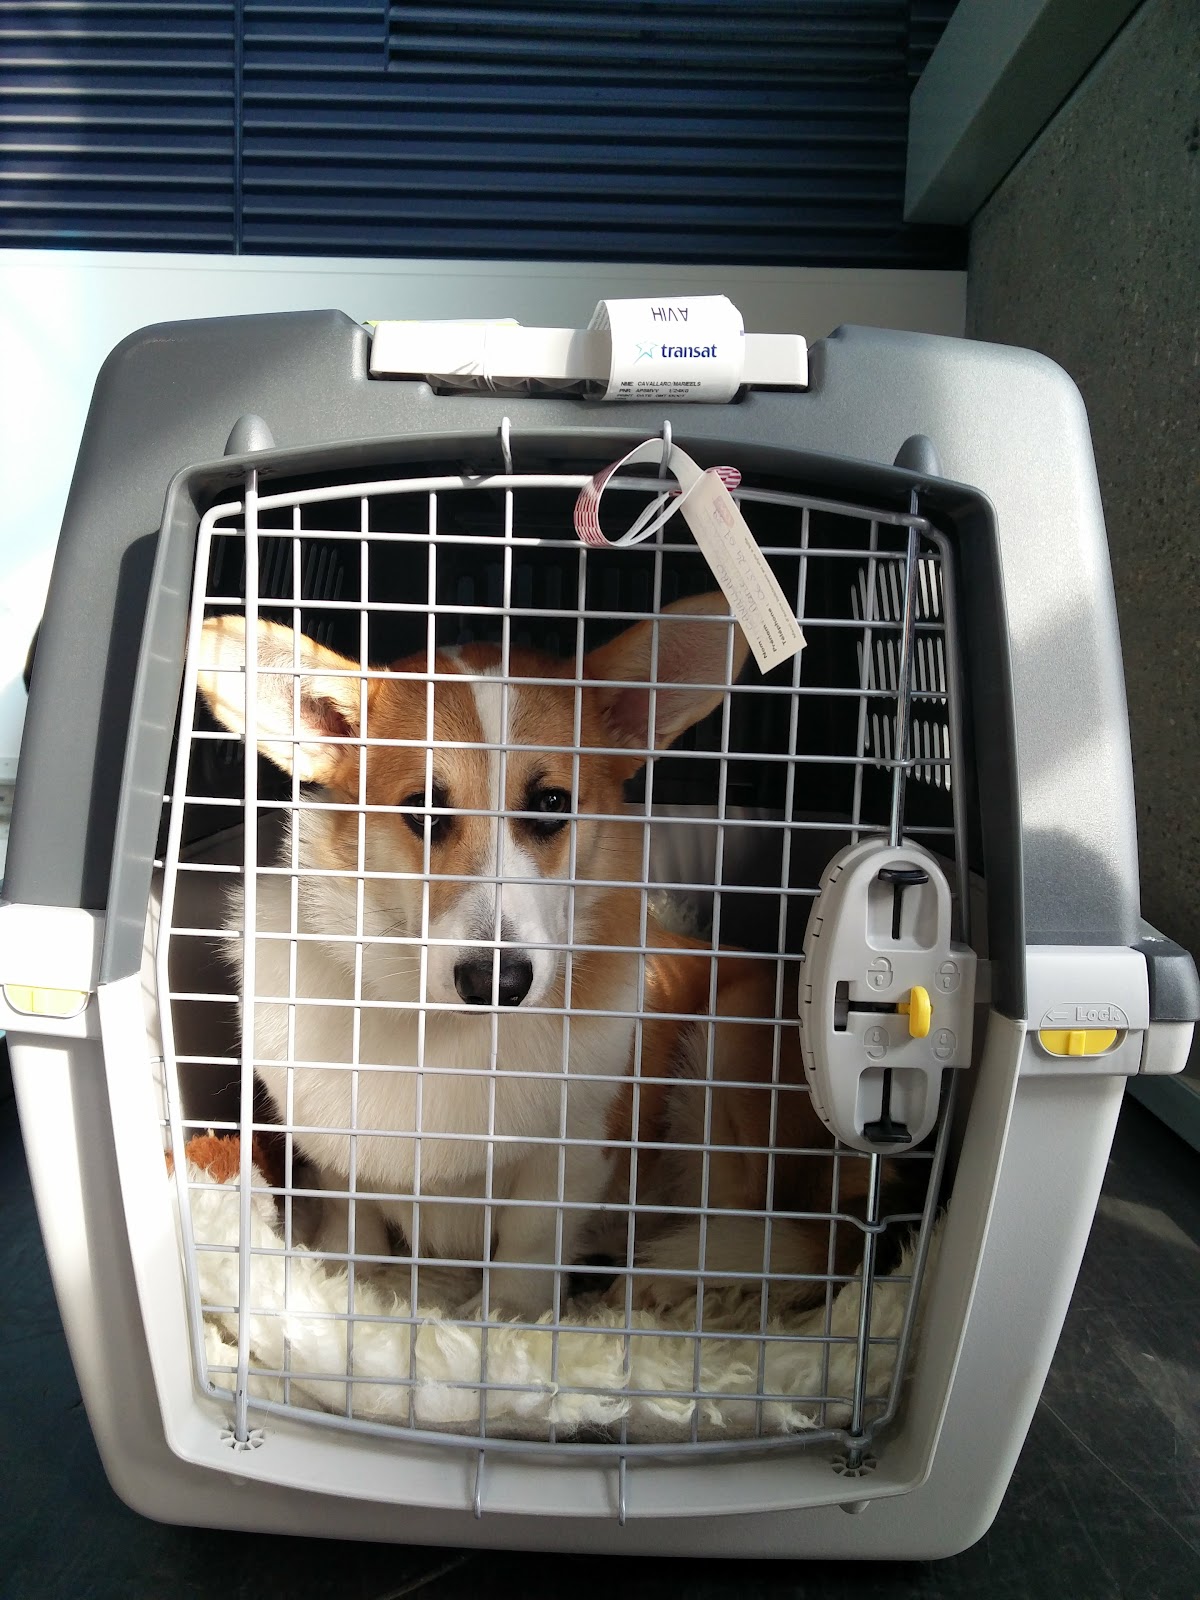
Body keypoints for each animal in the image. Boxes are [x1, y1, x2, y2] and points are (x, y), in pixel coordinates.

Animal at [198, 595, 752, 1318]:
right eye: (424, 812)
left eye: (551, 804)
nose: (497, 981)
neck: (443, 1032)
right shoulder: (337, 1151)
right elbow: (355, 1222)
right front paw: (358, 1291)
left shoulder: (573, 1153)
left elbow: (527, 1241)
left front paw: (510, 1319)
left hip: (727, 1045)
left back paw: (660, 1281)